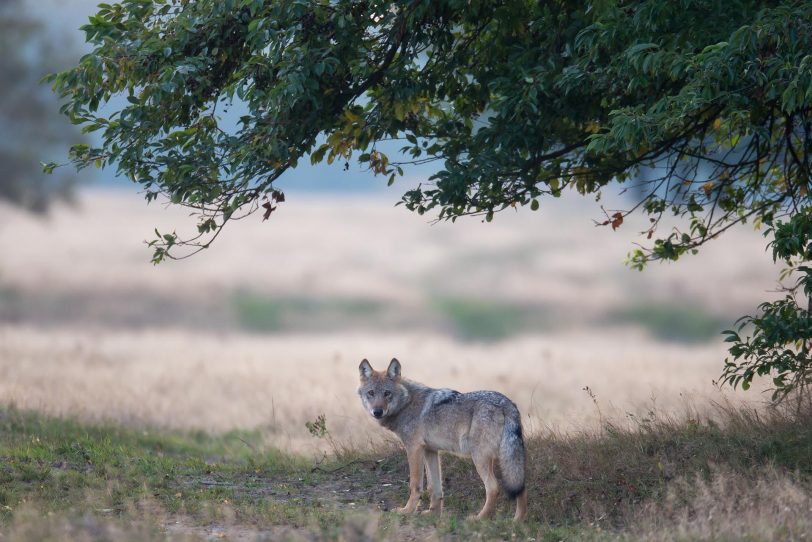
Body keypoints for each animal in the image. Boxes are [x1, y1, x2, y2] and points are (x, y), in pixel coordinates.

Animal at [358, 356, 528, 524]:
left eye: (387, 393)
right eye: (371, 393)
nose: (377, 411)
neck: (407, 403)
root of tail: (506, 403)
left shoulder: (414, 449)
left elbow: (415, 484)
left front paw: (407, 511)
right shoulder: (430, 451)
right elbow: (434, 487)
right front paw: (433, 514)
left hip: (480, 458)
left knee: (493, 488)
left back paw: (479, 518)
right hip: (510, 459)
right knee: (520, 485)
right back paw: (518, 521)